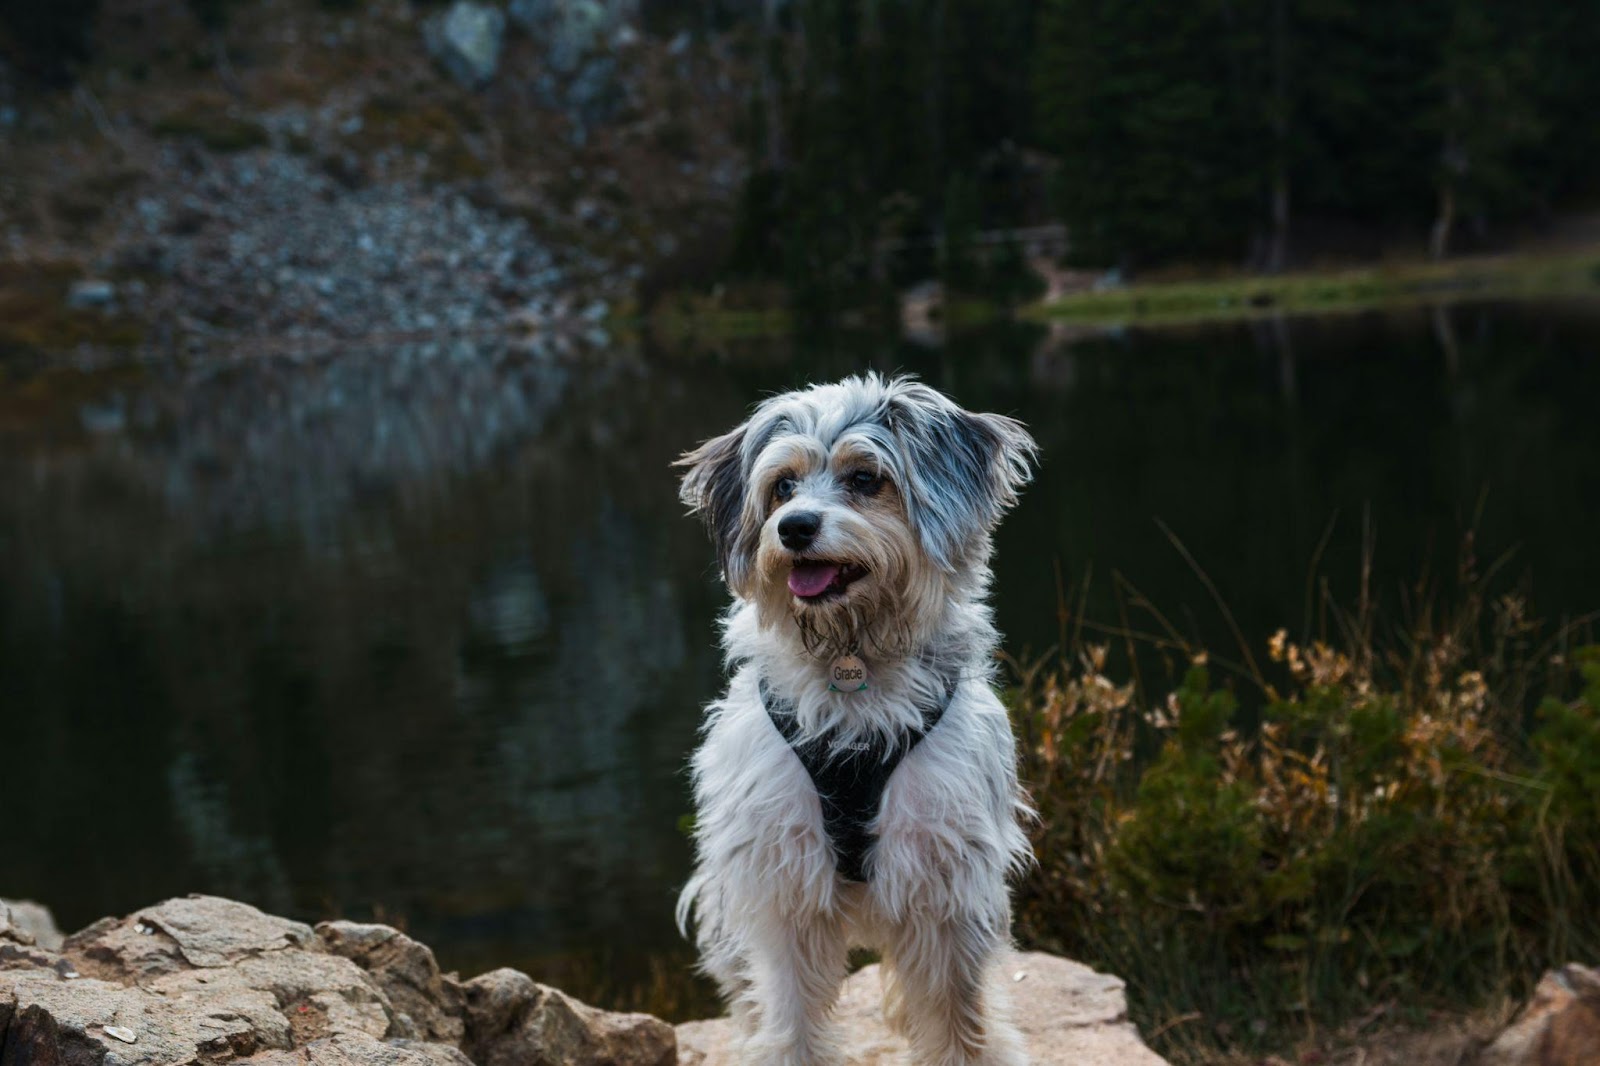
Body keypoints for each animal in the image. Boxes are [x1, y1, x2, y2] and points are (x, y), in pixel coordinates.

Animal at [672, 369, 1036, 1056]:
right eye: (782, 486)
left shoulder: (946, 885)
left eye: (866, 478)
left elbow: (961, 1023)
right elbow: (789, 1020)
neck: (852, 661)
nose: (793, 527)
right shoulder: (782, 884)